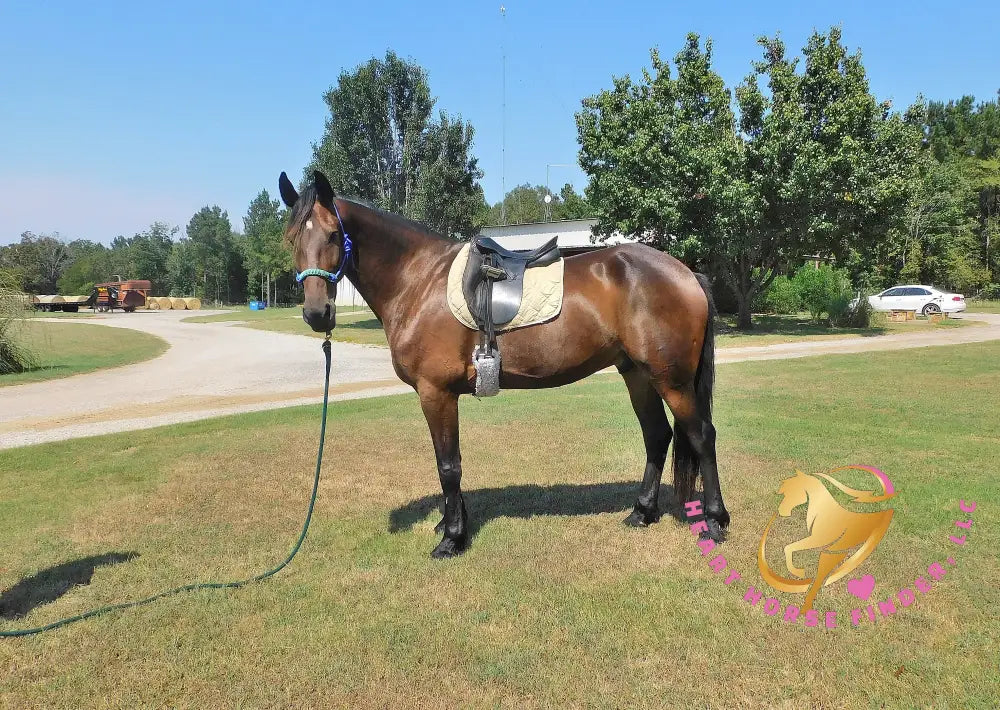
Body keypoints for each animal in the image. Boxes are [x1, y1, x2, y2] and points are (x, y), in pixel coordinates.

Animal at [278, 170, 727, 558]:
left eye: (334, 235)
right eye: (291, 239)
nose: (317, 313)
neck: (418, 280)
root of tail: (686, 272)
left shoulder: (436, 393)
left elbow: (448, 465)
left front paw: (451, 539)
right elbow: (448, 463)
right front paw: (450, 523)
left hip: (672, 379)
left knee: (702, 436)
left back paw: (715, 521)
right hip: (637, 374)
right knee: (657, 436)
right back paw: (641, 512)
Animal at [759, 469, 895, 611]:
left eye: (791, 490)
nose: (781, 511)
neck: (825, 512)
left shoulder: (818, 540)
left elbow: (789, 547)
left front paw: (798, 572)